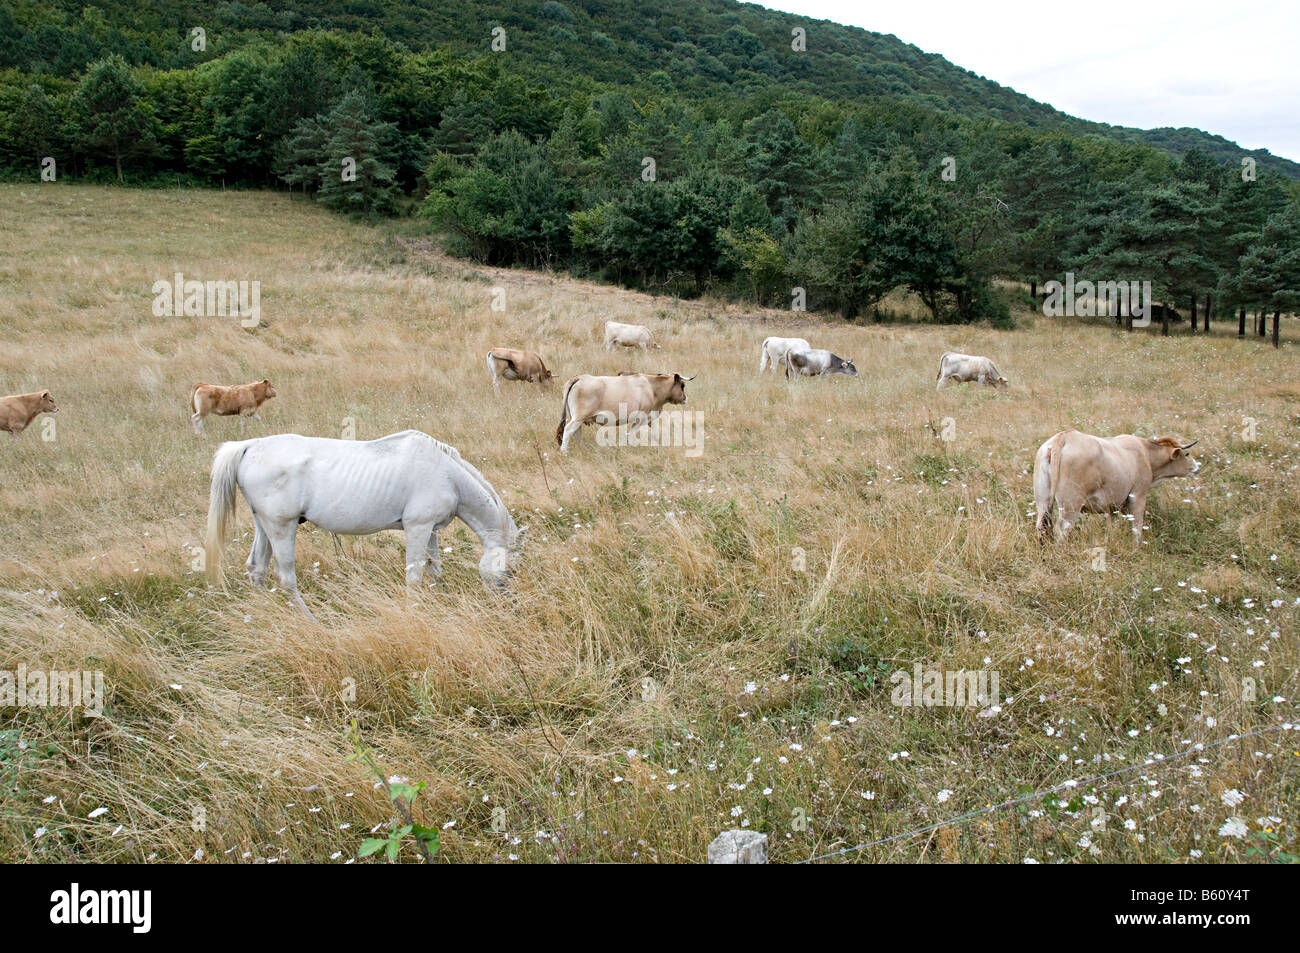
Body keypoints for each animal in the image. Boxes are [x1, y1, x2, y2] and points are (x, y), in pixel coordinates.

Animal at [204, 430, 524, 617]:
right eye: (508, 572)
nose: (506, 605)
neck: (448, 474)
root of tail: (249, 446)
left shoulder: (430, 530)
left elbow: (435, 569)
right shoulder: (417, 528)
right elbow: (415, 576)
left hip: (264, 525)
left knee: (256, 568)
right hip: (282, 527)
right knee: (286, 579)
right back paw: (311, 620)